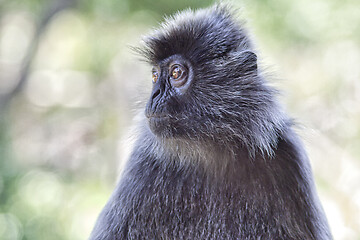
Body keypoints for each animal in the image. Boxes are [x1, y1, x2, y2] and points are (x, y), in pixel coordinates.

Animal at [89, 4, 332, 240]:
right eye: (155, 76)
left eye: (176, 73)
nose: (154, 95)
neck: (214, 152)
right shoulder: (142, 165)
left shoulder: (290, 159)